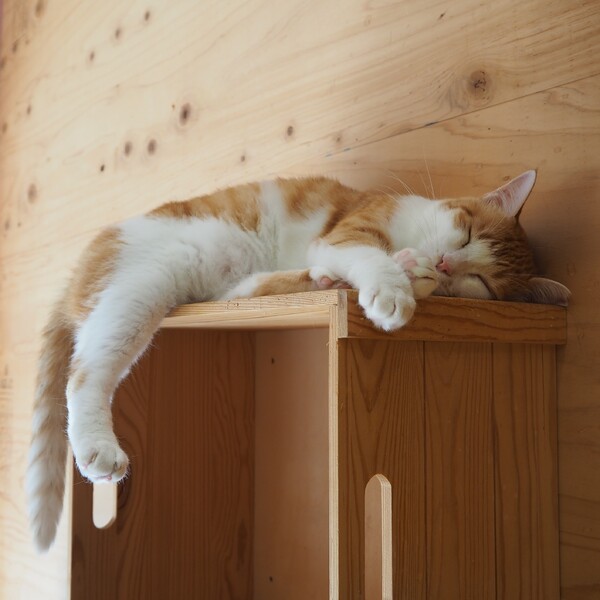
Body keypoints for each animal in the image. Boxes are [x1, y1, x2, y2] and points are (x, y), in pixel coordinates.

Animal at [26, 170, 570, 551]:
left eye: (483, 283)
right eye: (466, 233)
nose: (443, 263)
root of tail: (80, 267)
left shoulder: (337, 246)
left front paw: (411, 276)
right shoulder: (348, 233)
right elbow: (369, 256)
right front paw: (393, 288)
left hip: (202, 285)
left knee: (252, 287)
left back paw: (330, 280)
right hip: (147, 281)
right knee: (84, 375)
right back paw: (98, 447)